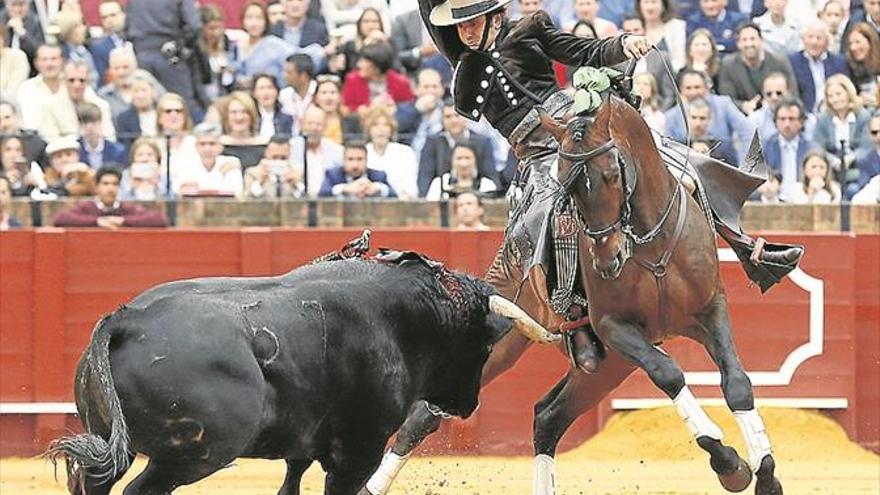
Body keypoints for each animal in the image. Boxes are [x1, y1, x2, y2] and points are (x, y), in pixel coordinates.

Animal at [48, 256, 552, 495]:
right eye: (482, 345)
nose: (467, 404)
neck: (400, 317)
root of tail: (126, 319)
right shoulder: (358, 449)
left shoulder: (304, 444)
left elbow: (290, 483)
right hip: (194, 455)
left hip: (112, 440)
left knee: (95, 481)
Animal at [528, 97, 784, 495]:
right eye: (567, 185)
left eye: (612, 174)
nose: (608, 259)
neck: (651, 241)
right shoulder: (614, 327)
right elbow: (668, 374)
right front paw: (729, 464)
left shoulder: (711, 308)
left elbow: (738, 383)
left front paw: (767, 474)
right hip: (611, 357)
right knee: (548, 415)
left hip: (607, 366)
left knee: (549, 416)